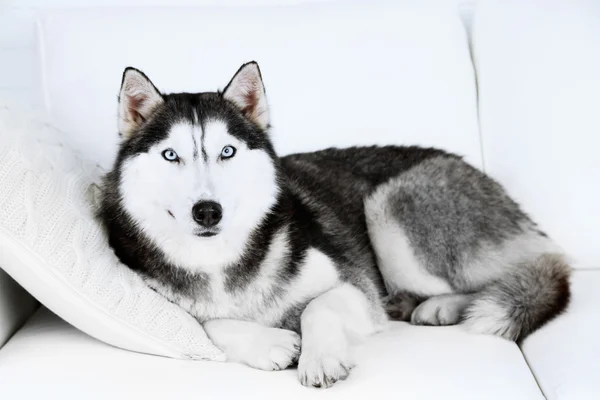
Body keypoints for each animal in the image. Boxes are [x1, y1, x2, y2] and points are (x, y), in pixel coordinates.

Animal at [99, 61, 572, 388]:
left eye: (227, 151)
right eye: (170, 155)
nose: (207, 211)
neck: (221, 261)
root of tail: (472, 168)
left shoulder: (355, 285)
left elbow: (317, 306)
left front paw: (319, 357)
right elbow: (205, 323)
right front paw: (269, 343)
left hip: (389, 208)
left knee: (508, 275)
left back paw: (441, 306)